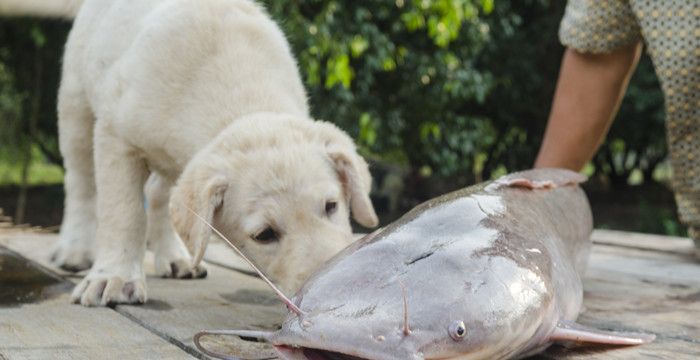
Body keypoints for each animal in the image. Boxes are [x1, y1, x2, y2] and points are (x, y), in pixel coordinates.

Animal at [0, 0, 378, 306]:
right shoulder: (116, 138)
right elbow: (123, 212)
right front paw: (116, 277)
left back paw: (176, 258)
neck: (240, 97)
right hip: (76, 101)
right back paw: (76, 249)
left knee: (161, 196)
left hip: (174, 161)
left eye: (331, 206)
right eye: (265, 235)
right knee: (81, 182)